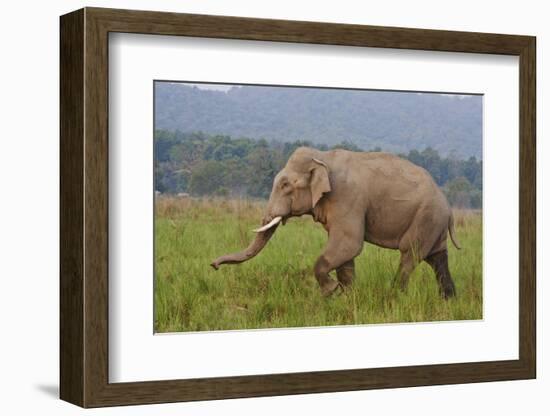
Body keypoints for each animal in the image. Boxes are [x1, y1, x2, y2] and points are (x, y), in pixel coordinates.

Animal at [211, 145, 462, 296]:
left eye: (285, 185)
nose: (213, 265)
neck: (321, 157)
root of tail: (448, 207)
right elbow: (346, 253)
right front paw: (347, 296)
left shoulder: (347, 198)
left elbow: (349, 243)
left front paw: (330, 291)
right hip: (433, 224)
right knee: (437, 258)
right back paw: (448, 300)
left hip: (426, 218)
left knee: (410, 255)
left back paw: (394, 296)